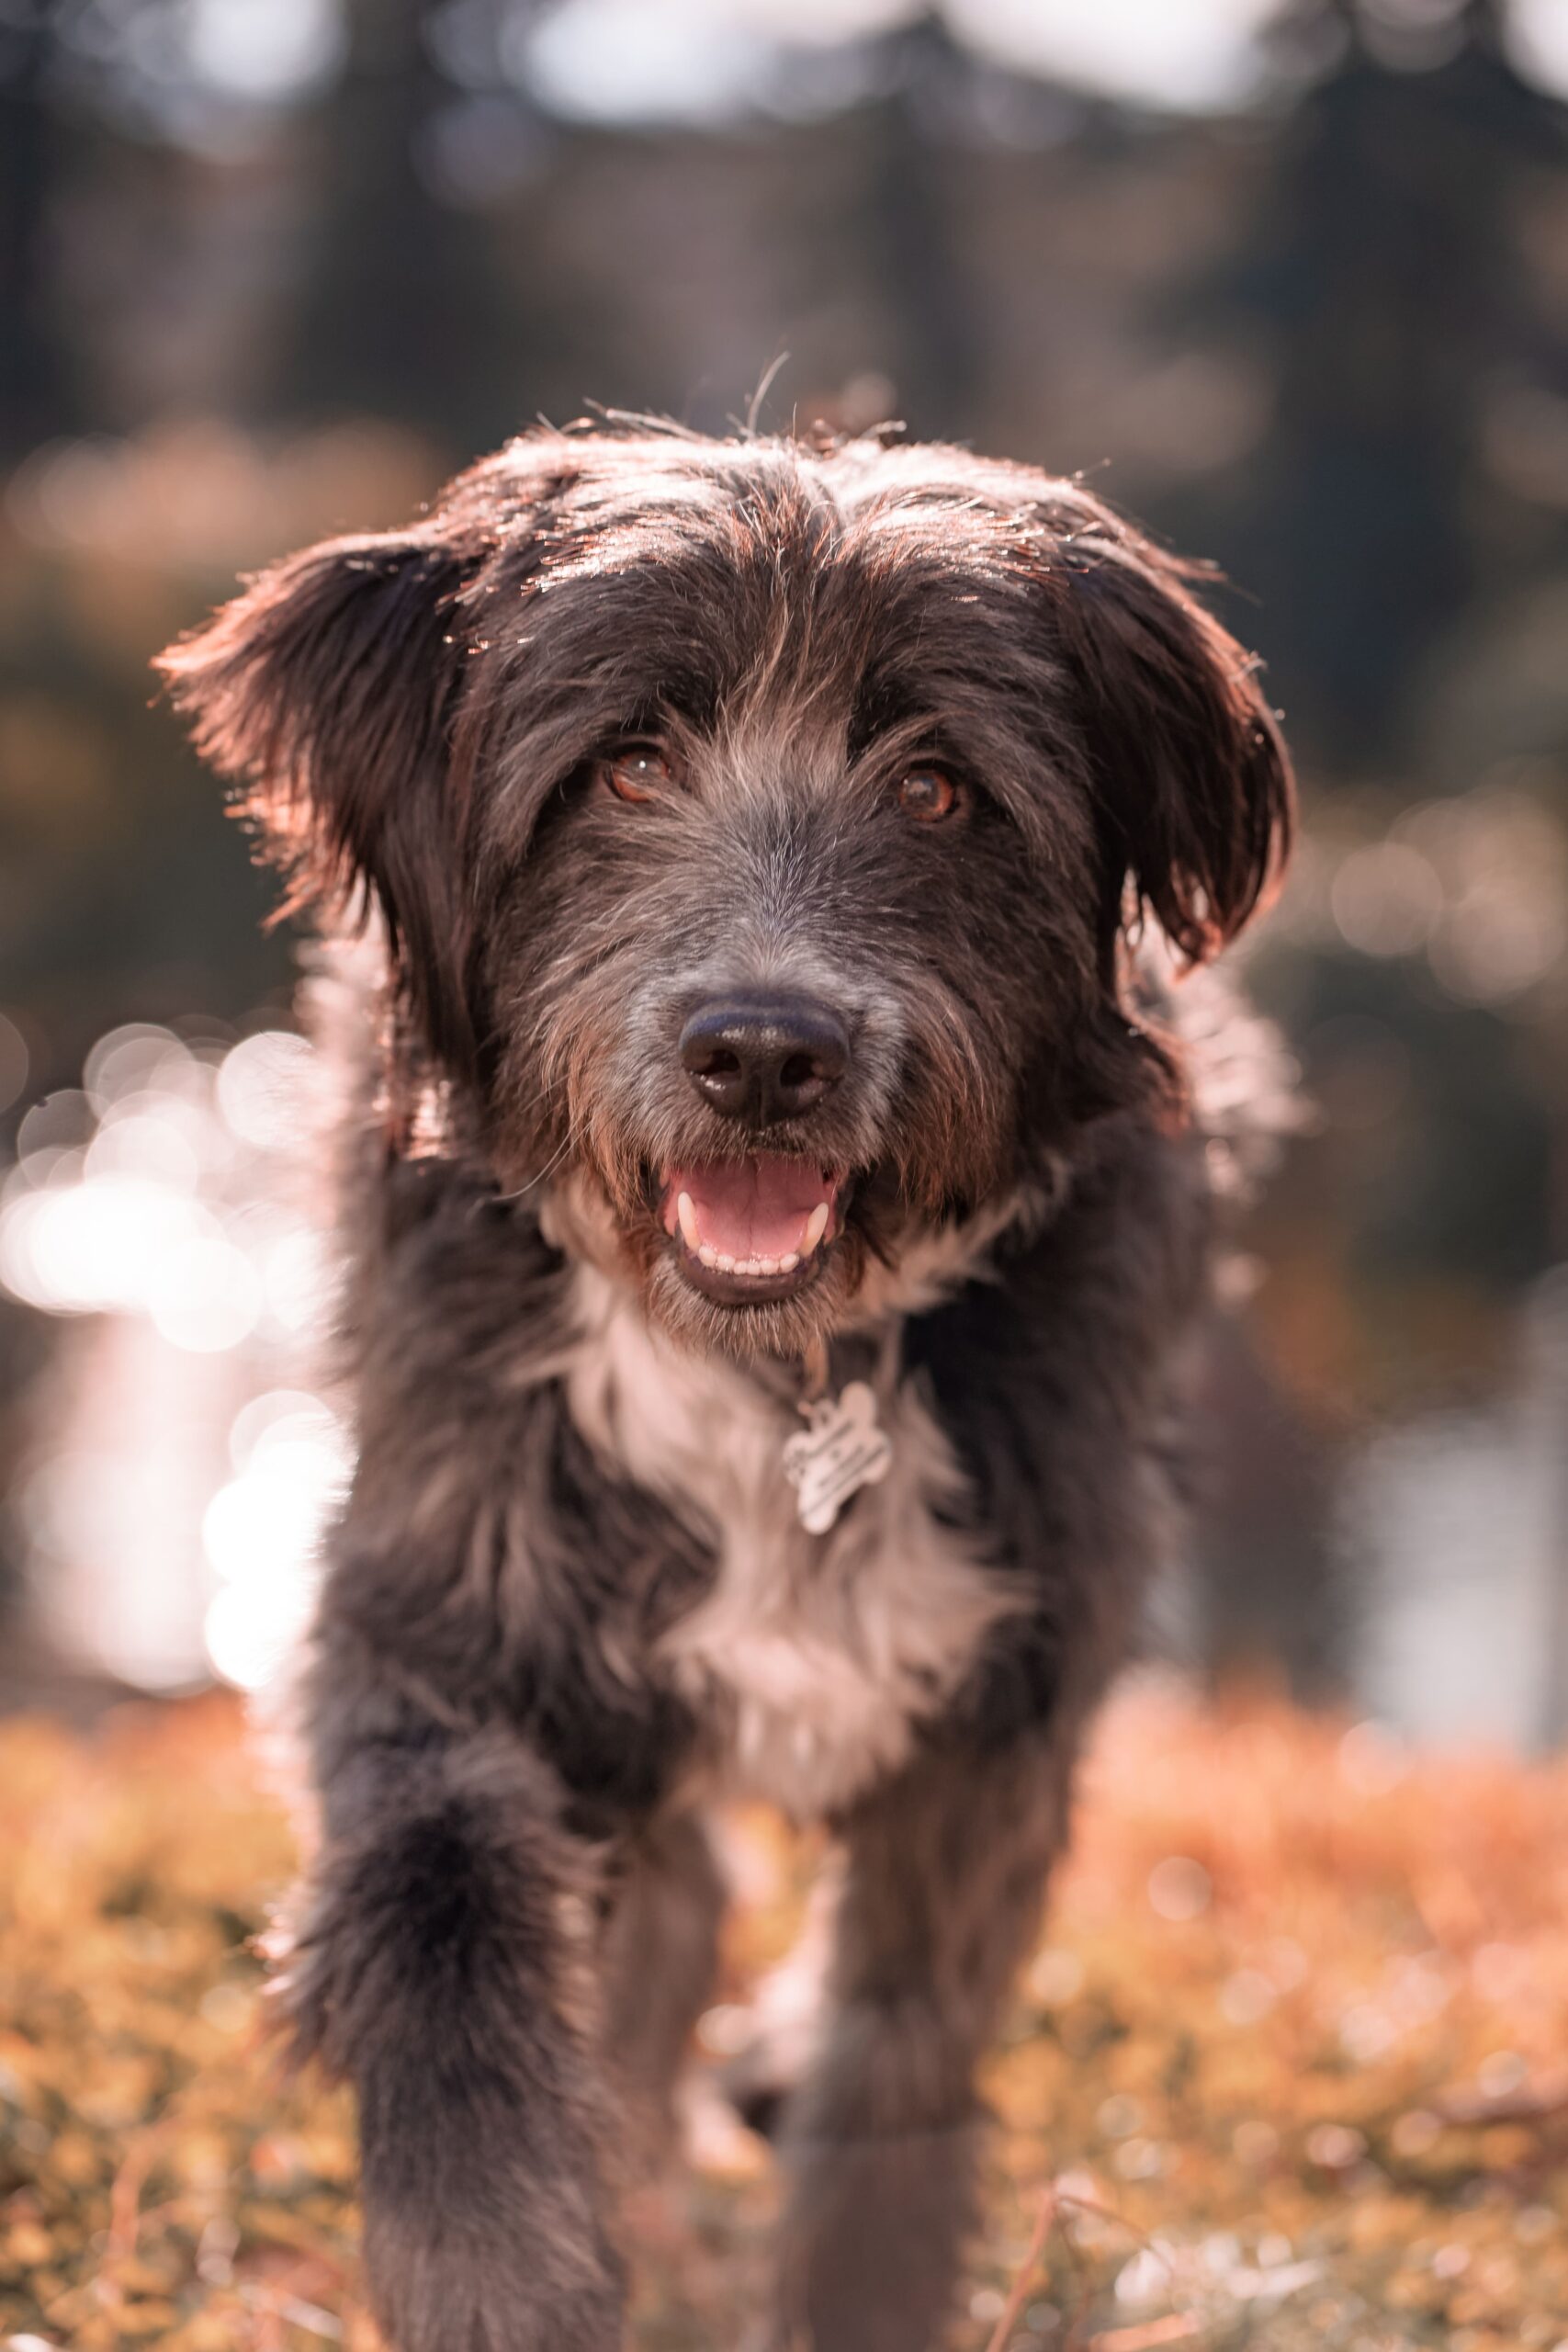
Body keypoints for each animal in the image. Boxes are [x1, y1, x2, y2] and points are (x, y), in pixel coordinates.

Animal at [156, 423, 1297, 2352]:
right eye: (624, 765)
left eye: (938, 789)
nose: (763, 1052)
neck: (781, 1372)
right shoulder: (435, 1601)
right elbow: (442, 1915)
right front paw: (506, 2269)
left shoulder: (1003, 1695)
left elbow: (895, 2059)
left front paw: (855, 2281)